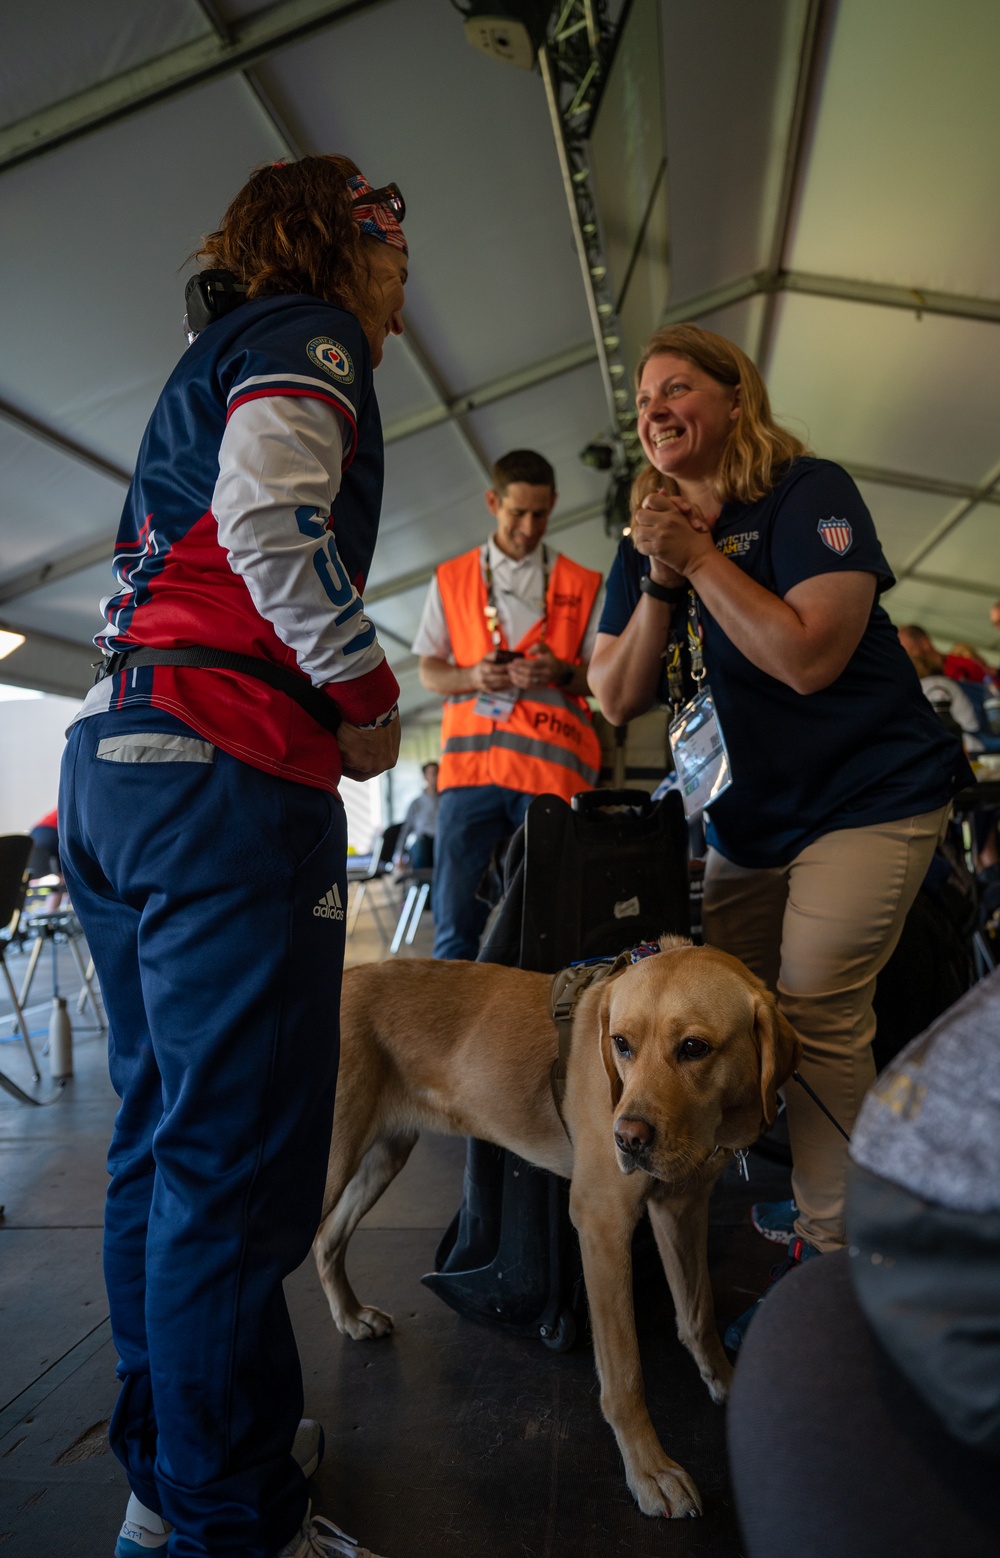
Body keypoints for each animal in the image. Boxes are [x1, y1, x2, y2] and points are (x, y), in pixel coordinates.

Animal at [314, 934, 797, 1520]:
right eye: (621, 1044)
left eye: (695, 1048)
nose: (626, 1139)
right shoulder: (602, 1222)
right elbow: (625, 1373)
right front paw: (649, 1470)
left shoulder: (681, 1209)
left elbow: (698, 1314)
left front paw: (724, 1381)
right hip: (330, 1165)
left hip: (386, 1153)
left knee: (326, 1240)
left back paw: (350, 1315)